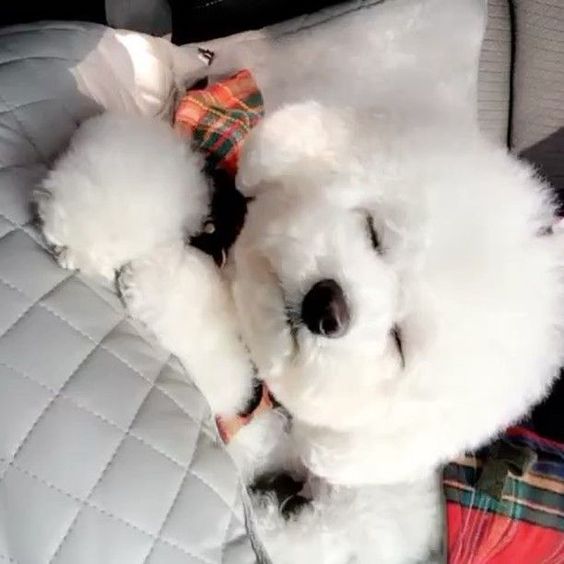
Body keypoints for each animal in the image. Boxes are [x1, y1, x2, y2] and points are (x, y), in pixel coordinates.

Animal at [36, 103, 564, 560]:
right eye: (374, 233)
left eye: (399, 343)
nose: (328, 306)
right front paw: (88, 225)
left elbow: (221, 367)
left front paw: (161, 285)